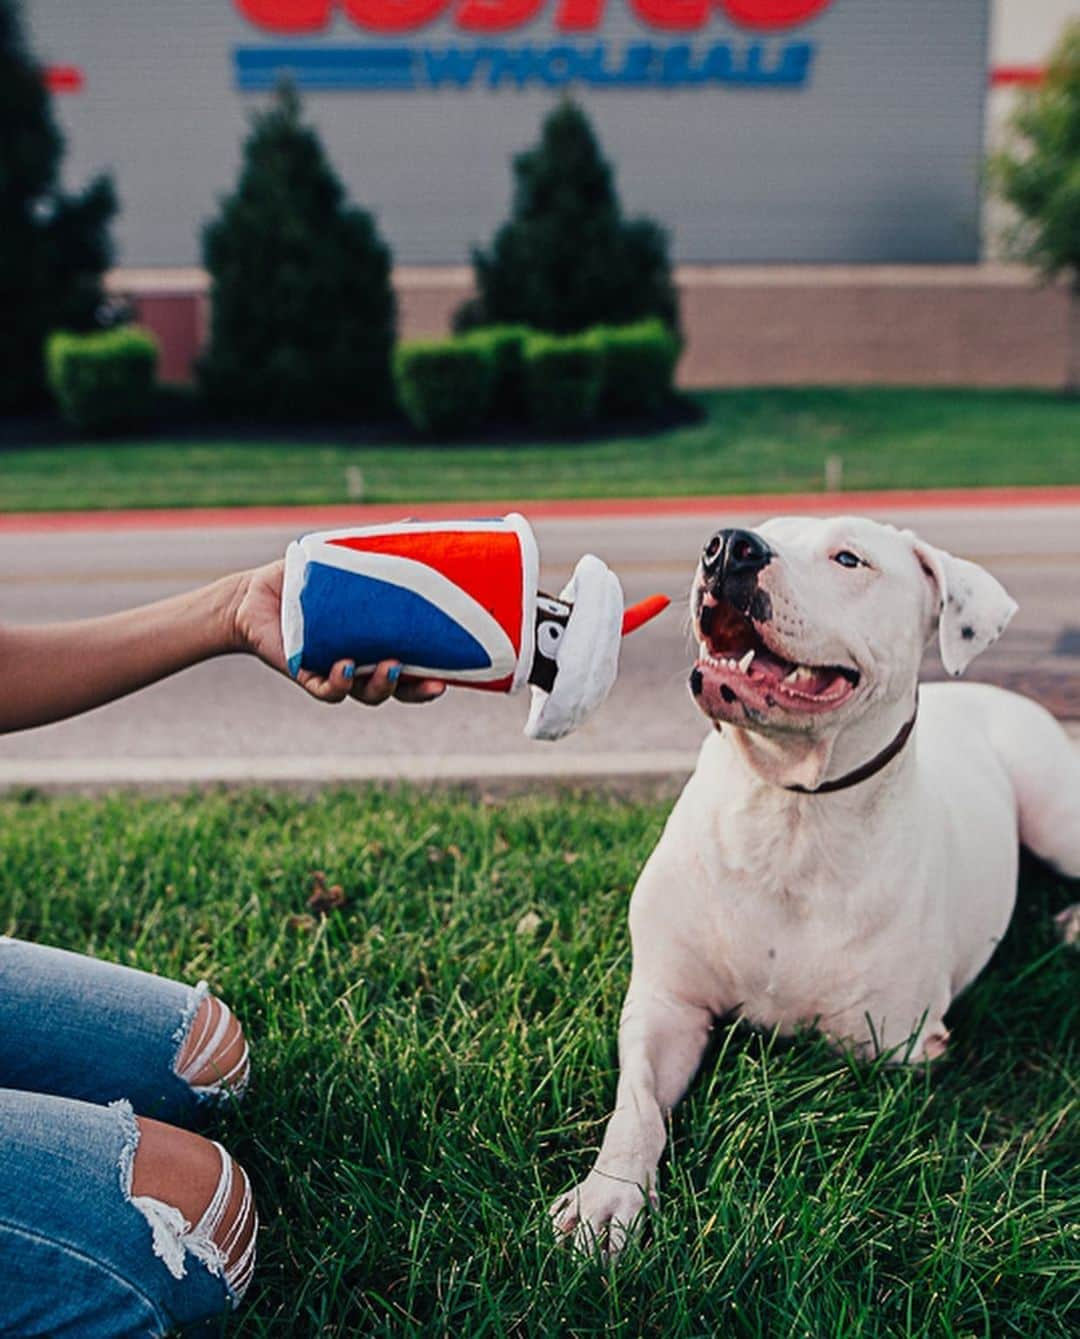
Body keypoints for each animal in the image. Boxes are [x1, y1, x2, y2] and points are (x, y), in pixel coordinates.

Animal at [554, 514, 1080, 1253]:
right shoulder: (666, 1003)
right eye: (757, 532)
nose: (728, 546)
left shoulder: (888, 1048)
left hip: (1054, 811)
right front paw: (608, 1195)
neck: (788, 814)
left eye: (849, 559)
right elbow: (637, 1106)